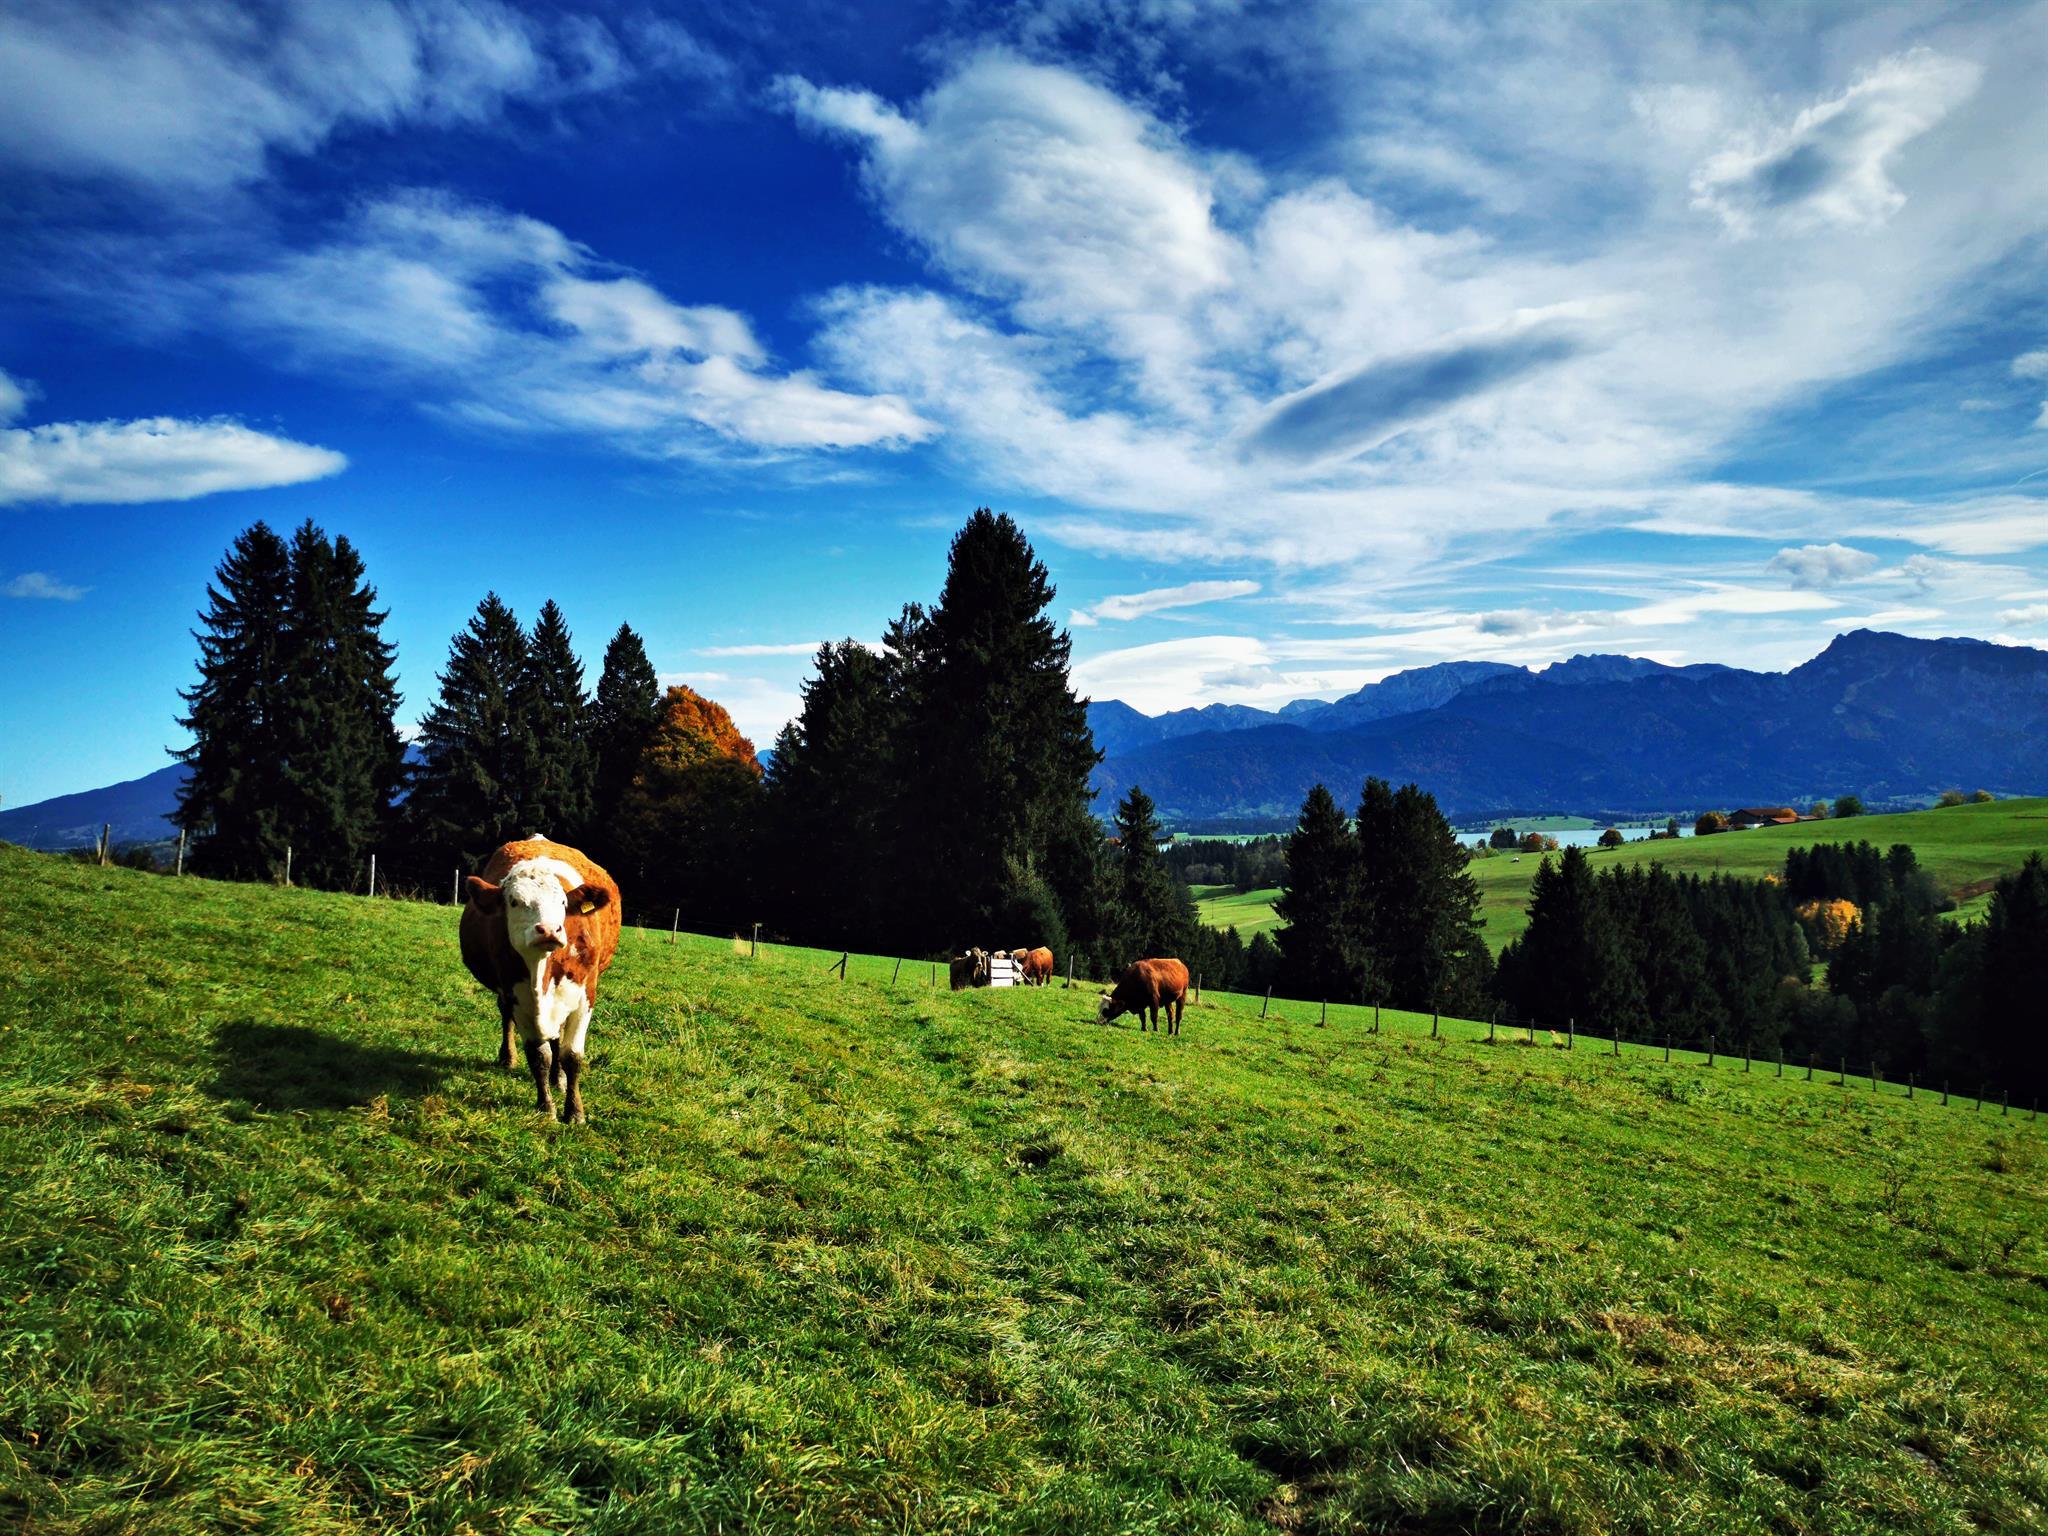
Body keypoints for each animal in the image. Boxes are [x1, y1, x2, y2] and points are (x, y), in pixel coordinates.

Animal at [459, 837, 620, 1123]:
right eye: (514, 901)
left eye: (564, 903)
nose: (548, 930)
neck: (540, 971)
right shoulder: (517, 997)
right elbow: (538, 1056)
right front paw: (546, 1107)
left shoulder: (585, 995)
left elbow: (572, 1055)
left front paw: (575, 1111)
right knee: (507, 1017)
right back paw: (508, 1058)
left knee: (558, 1036)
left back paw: (559, 1079)